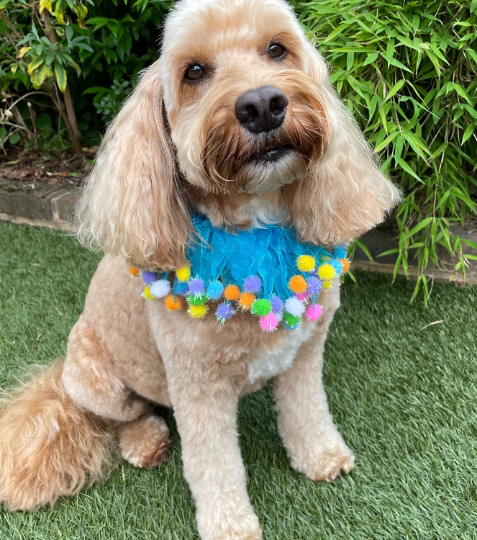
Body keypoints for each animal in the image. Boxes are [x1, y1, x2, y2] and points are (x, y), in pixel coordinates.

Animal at [0, 1, 400, 540]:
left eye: (277, 49)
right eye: (194, 71)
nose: (262, 104)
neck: (254, 227)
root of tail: (58, 376)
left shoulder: (305, 354)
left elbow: (307, 412)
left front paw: (320, 457)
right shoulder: (198, 388)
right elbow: (215, 465)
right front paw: (232, 527)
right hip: (93, 377)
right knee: (126, 415)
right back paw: (145, 441)